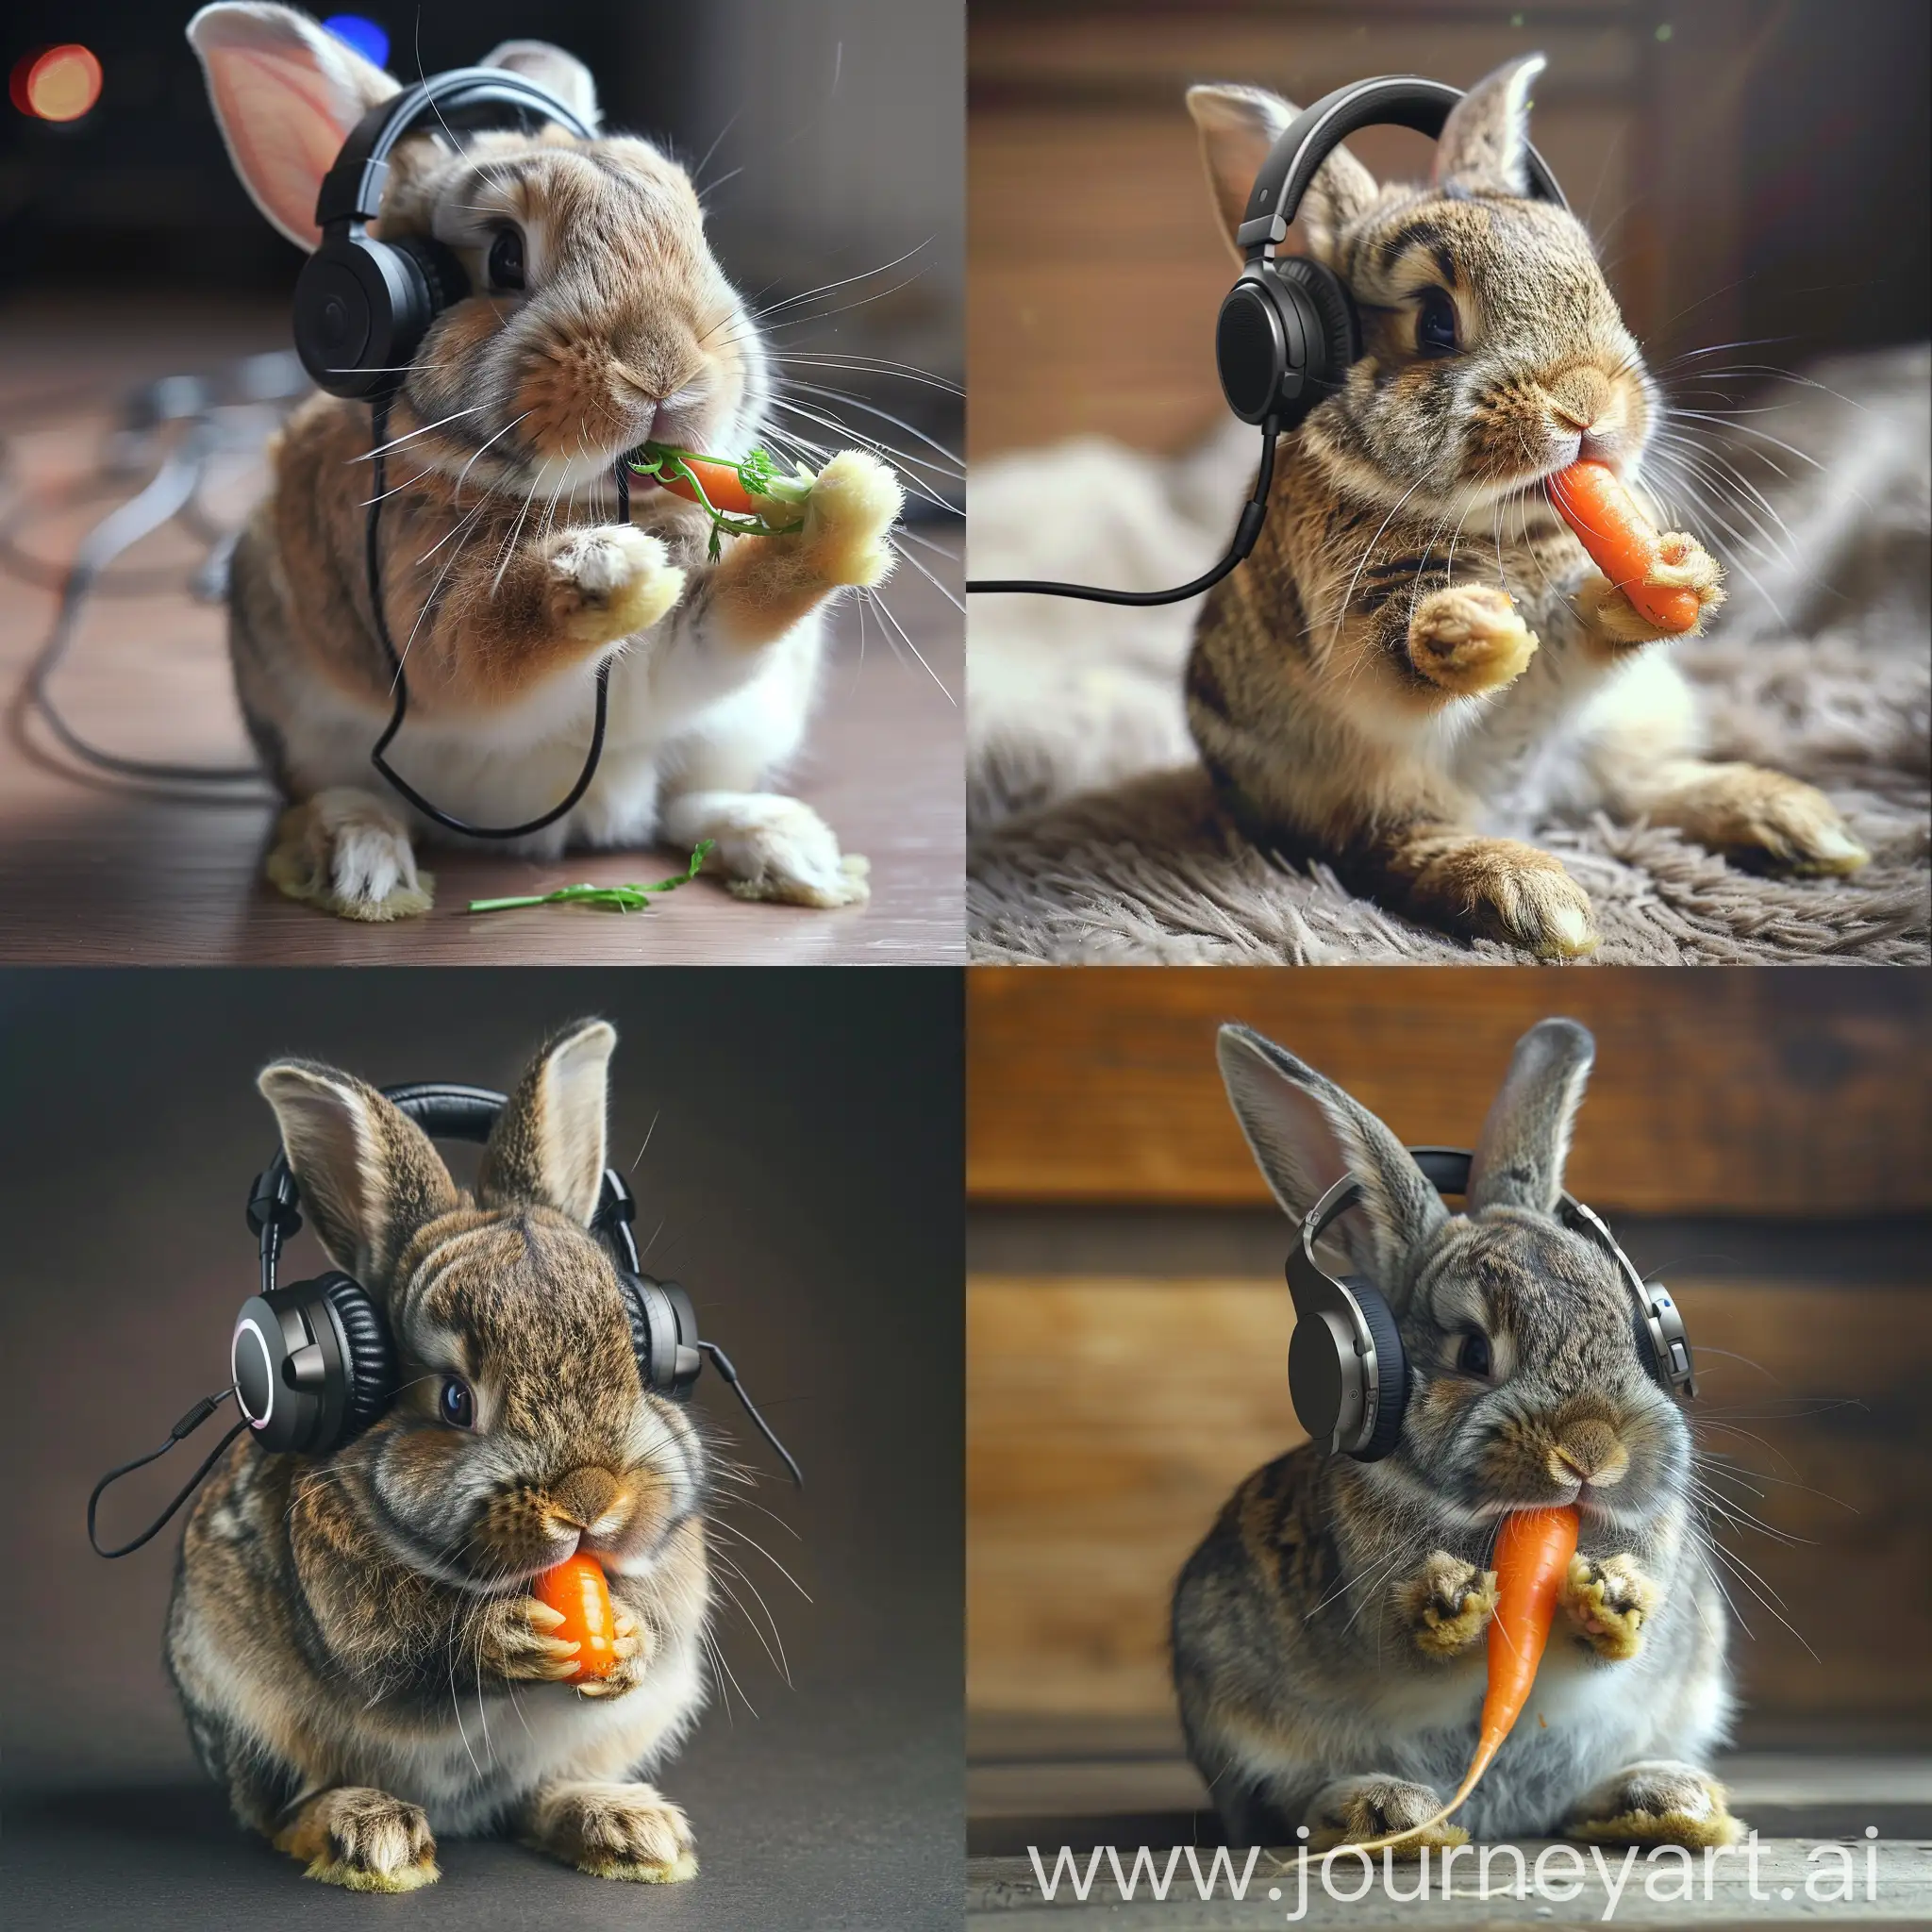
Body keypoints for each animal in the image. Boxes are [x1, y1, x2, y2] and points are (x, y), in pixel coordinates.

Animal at [164, 1020, 718, 1893]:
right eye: (456, 1400)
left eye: (634, 1361)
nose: (591, 1499)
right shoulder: (354, 1612)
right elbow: (410, 1649)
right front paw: (511, 1638)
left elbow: (658, 1615)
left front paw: (625, 1641)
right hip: (252, 1717)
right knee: (280, 1812)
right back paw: (374, 1837)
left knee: (535, 1796)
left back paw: (626, 1827)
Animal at [188, 2, 896, 919]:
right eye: (503, 255)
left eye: (698, 233)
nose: (665, 373)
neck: (589, 496)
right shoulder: (415, 610)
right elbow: (491, 643)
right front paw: (606, 569)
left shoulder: (695, 648)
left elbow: (729, 619)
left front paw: (850, 505)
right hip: (298, 712)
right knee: (335, 795)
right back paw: (361, 864)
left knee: (686, 805)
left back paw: (789, 850)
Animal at [1166, 1020, 1746, 1846]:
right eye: (1474, 1353)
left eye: (1635, 1337)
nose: (1593, 1454)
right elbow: (1427, 1651)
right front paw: (1451, 1600)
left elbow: (1602, 1653)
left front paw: (1613, 1599)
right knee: (1292, 1807)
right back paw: (1381, 1812)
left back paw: (1663, 1801)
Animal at [1182, 56, 1862, 961]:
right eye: (1436, 323)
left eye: (1597, 287)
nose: (1588, 404)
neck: (1507, 519)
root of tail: (1522, 800)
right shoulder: (1352, 616)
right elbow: (1394, 662)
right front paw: (1472, 628)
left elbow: (1593, 627)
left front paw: (1678, 575)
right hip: (1361, 786)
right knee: (1402, 844)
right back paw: (1536, 897)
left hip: (1622, 727)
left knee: (1635, 790)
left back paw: (1792, 819)